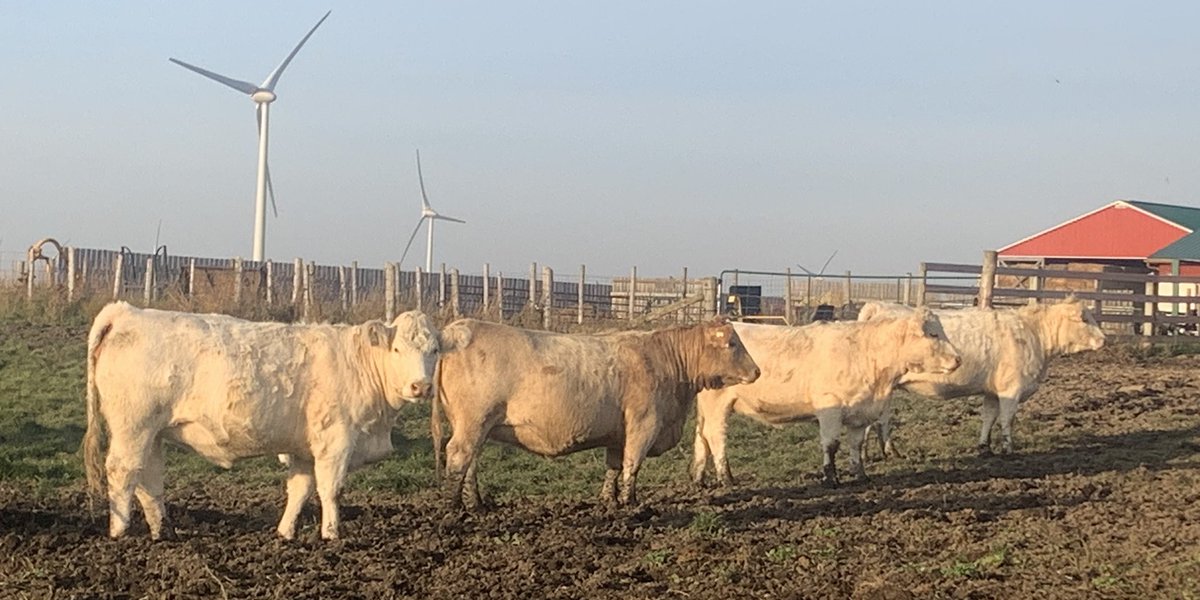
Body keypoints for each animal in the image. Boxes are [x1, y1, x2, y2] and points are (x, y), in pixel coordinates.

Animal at [82, 302, 469, 540]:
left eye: (434, 350)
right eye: (397, 349)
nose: (420, 386)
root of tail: (126, 311)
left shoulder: (304, 448)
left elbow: (299, 489)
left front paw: (285, 533)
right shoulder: (335, 441)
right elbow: (331, 489)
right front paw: (332, 534)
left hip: (153, 433)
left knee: (148, 479)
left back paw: (163, 532)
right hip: (133, 426)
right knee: (121, 471)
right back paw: (120, 531)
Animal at [431, 317, 760, 509]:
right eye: (732, 343)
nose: (757, 371)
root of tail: (458, 328)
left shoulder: (618, 433)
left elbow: (614, 466)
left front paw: (608, 500)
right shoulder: (644, 424)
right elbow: (632, 465)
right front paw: (631, 503)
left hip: (476, 427)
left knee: (470, 463)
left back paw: (475, 504)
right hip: (473, 423)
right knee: (458, 457)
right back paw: (452, 508)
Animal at [691, 308, 961, 488]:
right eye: (933, 334)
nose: (958, 359)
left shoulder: (860, 414)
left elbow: (856, 445)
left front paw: (861, 475)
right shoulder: (830, 409)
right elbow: (831, 445)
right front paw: (831, 478)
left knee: (701, 436)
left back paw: (699, 478)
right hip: (717, 404)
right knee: (716, 436)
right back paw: (726, 478)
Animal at [856, 297, 1106, 456]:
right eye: (1085, 319)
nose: (1104, 339)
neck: (1032, 333)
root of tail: (878, 305)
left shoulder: (992, 391)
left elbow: (989, 417)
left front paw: (985, 447)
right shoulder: (1011, 389)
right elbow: (1007, 419)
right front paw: (1008, 449)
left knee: (880, 418)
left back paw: (883, 451)